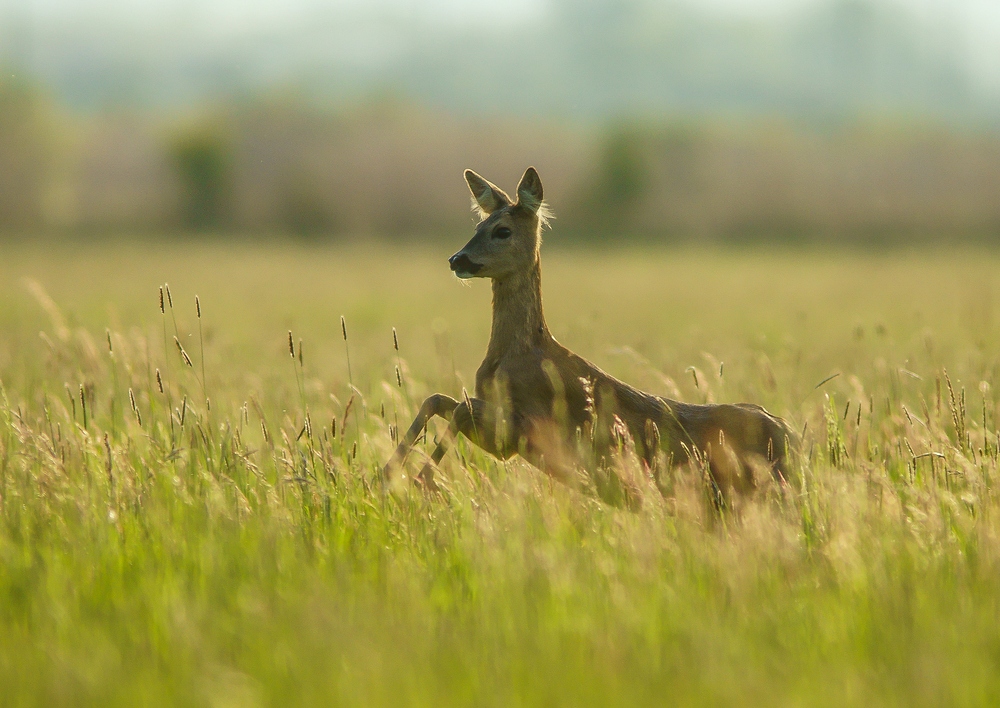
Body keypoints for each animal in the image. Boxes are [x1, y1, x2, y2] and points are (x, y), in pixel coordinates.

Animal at [382, 167, 796, 508]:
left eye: (502, 231)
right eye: (476, 228)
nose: (457, 260)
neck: (516, 353)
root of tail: (792, 438)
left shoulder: (522, 433)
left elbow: (459, 407)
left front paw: (418, 481)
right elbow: (438, 399)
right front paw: (386, 473)